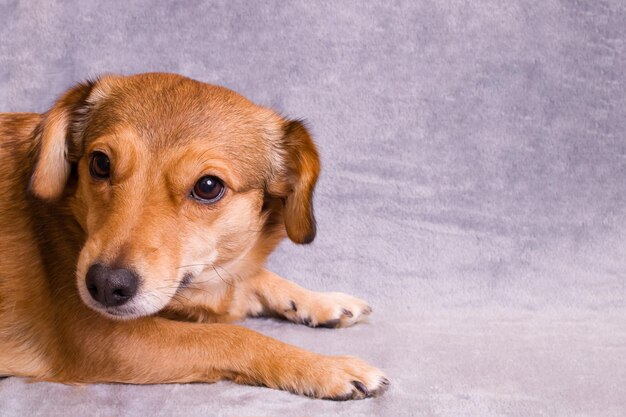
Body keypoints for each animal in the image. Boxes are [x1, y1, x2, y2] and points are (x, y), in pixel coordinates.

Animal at [0, 74, 388, 400]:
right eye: (100, 163)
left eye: (208, 186)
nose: (106, 286)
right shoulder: (107, 340)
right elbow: (232, 336)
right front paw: (326, 367)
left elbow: (258, 278)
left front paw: (323, 302)